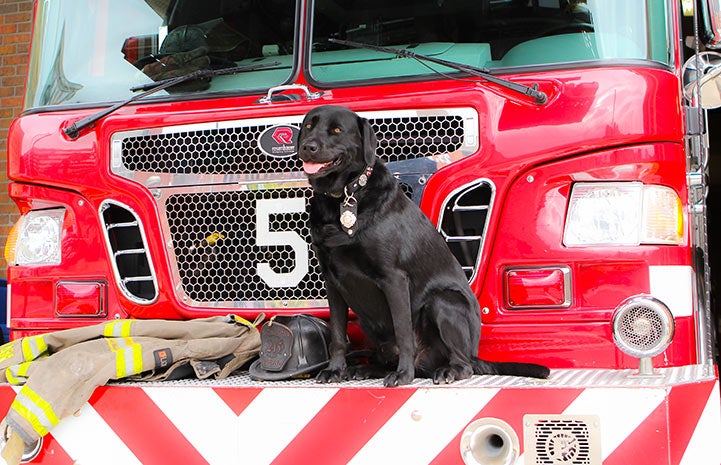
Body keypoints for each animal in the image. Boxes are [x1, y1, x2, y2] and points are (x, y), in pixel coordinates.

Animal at [296, 104, 544, 384]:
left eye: (337, 130)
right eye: (308, 126)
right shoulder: (333, 281)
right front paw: (335, 370)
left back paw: (446, 370)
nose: (307, 146)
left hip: (444, 301)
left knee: (463, 363)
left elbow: (403, 331)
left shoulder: (393, 278)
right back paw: (364, 369)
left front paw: (404, 375)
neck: (343, 197)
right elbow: (338, 335)